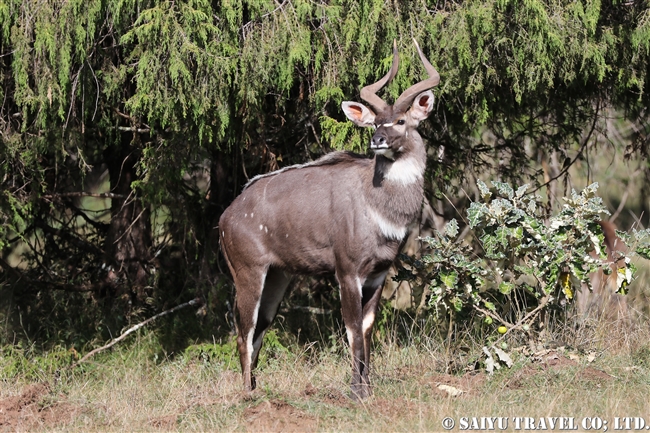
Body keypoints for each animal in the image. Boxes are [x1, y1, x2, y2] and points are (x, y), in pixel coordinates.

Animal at [219, 40, 440, 398]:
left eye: (401, 120)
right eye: (375, 122)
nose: (377, 140)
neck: (378, 207)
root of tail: (224, 219)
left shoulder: (379, 273)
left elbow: (367, 328)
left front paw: (367, 389)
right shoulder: (347, 270)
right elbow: (352, 329)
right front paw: (357, 392)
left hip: (278, 276)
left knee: (259, 330)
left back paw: (256, 387)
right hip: (248, 271)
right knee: (244, 330)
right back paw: (247, 393)